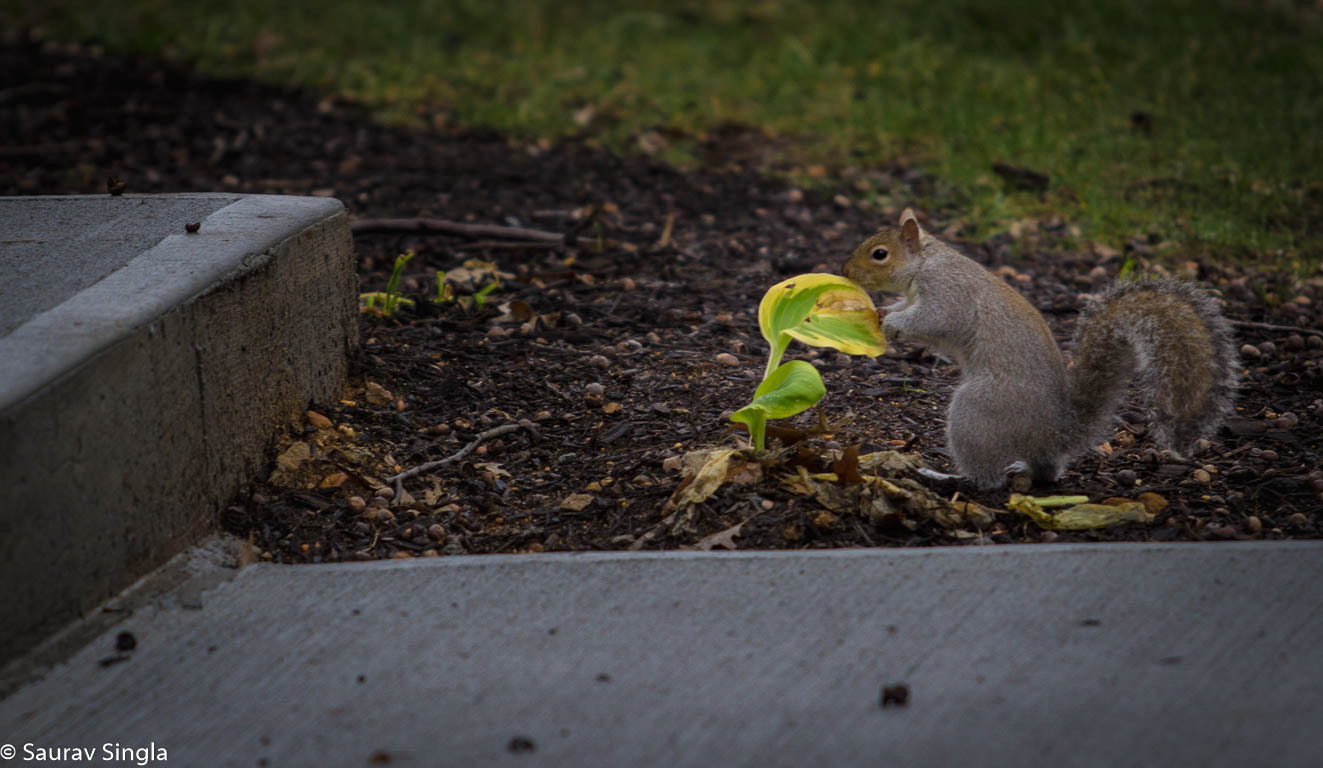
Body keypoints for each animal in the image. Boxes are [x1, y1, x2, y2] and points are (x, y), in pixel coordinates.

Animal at [842, 208, 1238, 490]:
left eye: (880, 254)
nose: (845, 273)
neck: (926, 261)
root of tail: (1055, 433)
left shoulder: (948, 292)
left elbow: (934, 319)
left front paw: (892, 323)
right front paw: (884, 311)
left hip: (979, 412)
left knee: (988, 480)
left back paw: (950, 479)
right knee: (1047, 471)